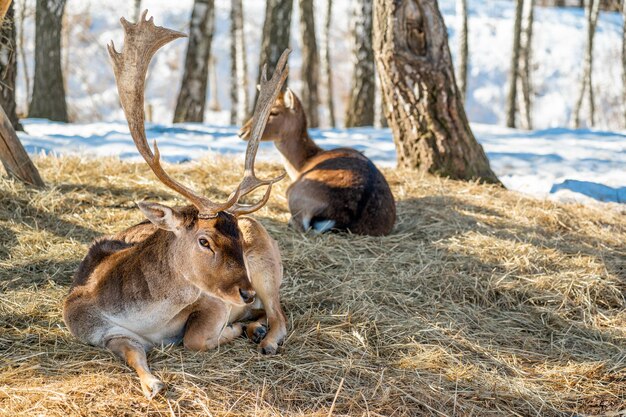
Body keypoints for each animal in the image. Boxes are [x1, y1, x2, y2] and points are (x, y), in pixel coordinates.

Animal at [63, 11, 288, 398]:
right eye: (204, 240)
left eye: (238, 241)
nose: (243, 292)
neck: (145, 320)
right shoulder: (97, 329)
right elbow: (133, 353)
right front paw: (153, 384)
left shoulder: (212, 301)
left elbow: (195, 337)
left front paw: (231, 330)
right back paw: (254, 326)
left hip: (267, 270)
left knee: (280, 313)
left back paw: (265, 337)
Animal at [239, 88, 394, 236]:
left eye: (274, 112)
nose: (241, 132)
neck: (302, 164)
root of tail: (345, 218)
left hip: (296, 195)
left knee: (301, 225)